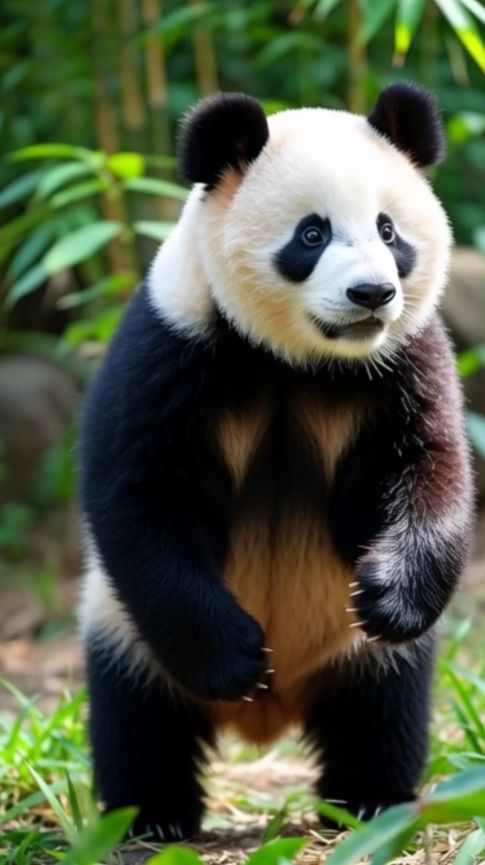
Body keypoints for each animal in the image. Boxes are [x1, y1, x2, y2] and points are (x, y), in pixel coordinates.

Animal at [79, 82, 474, 842]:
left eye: (388, 231)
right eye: (311, 235)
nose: (371, 294)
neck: (299, 361)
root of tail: (269, 716)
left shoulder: (403, 358)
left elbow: (426, 465)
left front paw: (391, 594)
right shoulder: (176, 342)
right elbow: (141, 493)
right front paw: (233, 655)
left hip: (355, 656)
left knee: (383, 710)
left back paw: (369, 798)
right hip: (124, 628)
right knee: (137, 717)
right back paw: (152, 814)